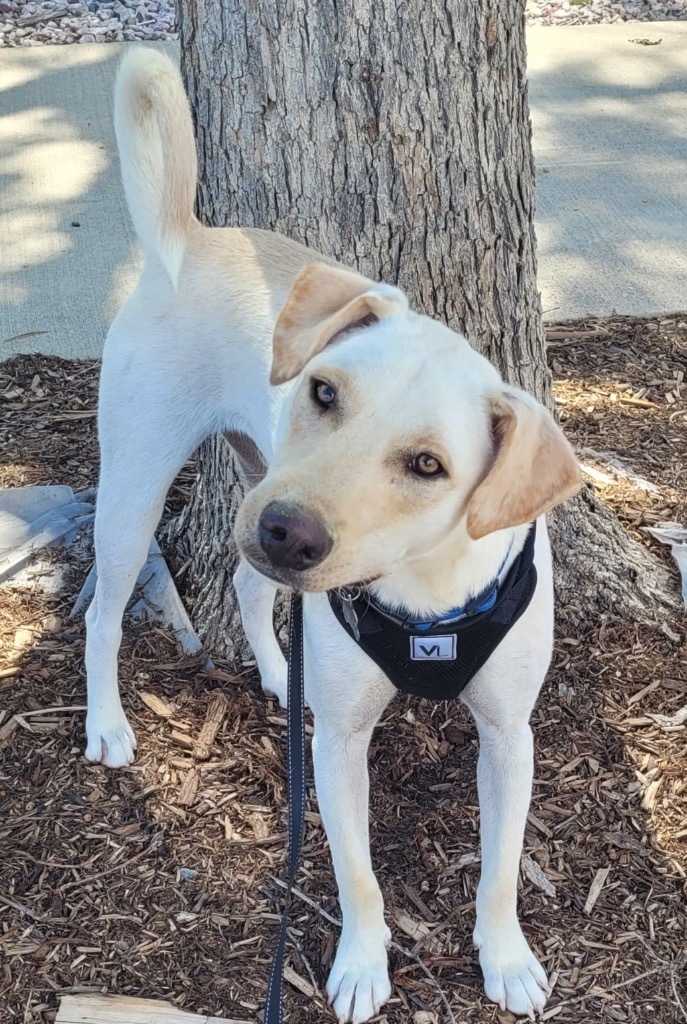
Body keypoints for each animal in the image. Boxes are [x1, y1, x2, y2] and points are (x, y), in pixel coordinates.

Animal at [84, 49, 581, 1024]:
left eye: (427, 464)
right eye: (322, 391)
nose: (286, 530)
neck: (424, 588)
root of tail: (187, 237)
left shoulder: (510, 734)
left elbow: (501, 868)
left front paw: (505, 956)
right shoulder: (342, 745)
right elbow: (357, 876)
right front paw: (359, 968)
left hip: (247, 483)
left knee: (247, 589)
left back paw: (283, 676)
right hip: (138, 487)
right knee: (104, 612)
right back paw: (109, 724)